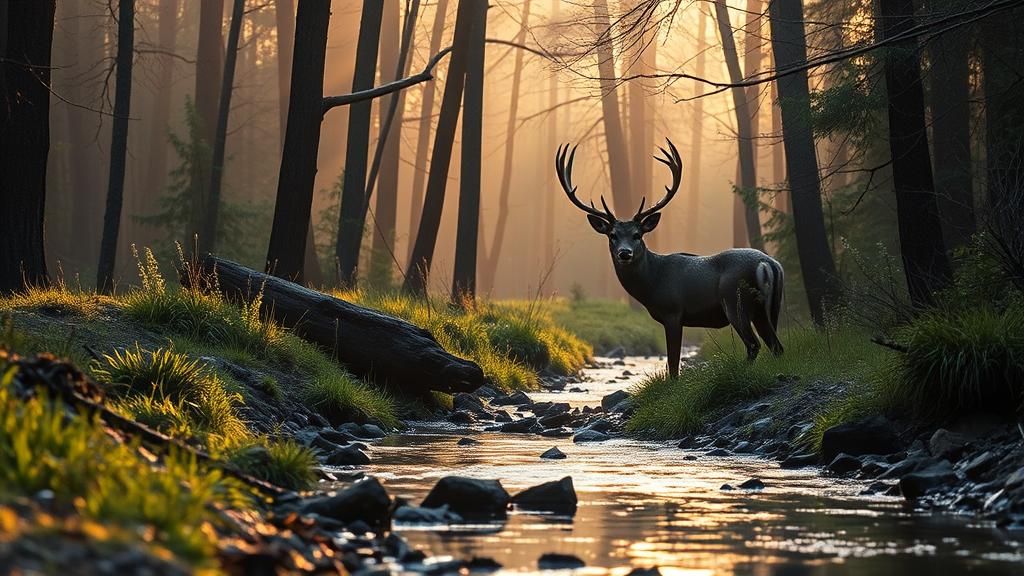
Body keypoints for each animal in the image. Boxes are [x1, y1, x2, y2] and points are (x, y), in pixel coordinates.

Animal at [555, 139, 785, 378]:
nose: (625, 253)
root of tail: (768, 264)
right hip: (768, 307)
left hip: (735, 301)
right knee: (776, 346)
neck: (652, 284)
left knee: (754, 344)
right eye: (612, 235)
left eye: (637, 234)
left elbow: (673, 363)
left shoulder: (673, 312)